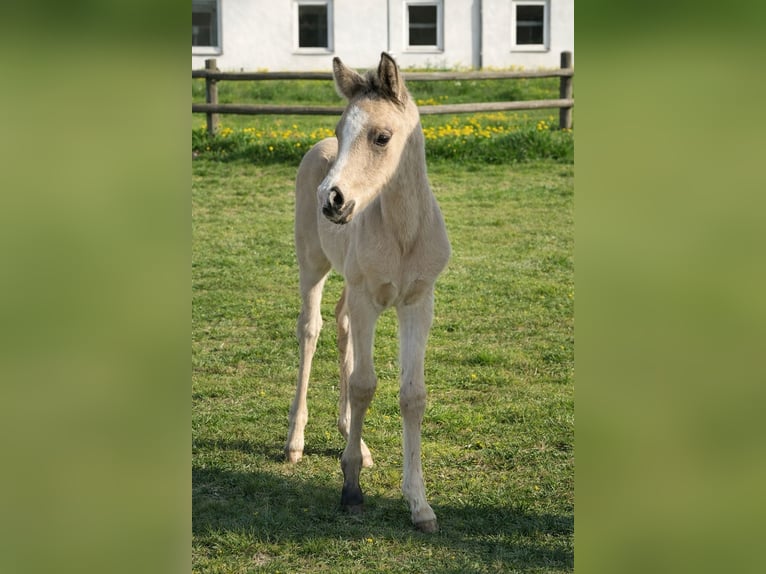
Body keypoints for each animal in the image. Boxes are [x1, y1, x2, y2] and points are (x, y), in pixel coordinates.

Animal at [284, 52, 450, 533]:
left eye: (381, 137)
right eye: (342, 131)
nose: (331, 199)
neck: (403, 234)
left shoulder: (417, 303)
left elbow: (412, 395)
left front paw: (419, 505)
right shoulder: (367, 300)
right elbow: (364, 385)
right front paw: (351, 490)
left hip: (352, 285)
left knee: (341, 327)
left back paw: (350, 435)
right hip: (314, 266)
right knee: (312, 329)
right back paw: (295, 442)